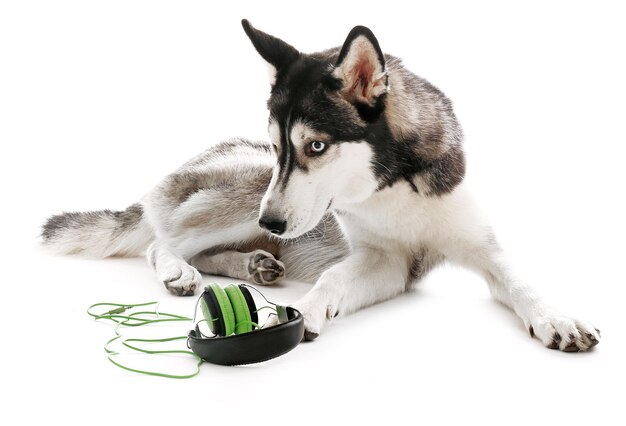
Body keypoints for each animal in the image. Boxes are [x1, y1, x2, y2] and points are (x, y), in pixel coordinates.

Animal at [41, 20, 596, 352]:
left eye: (316, 146)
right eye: (280, 146)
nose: (270, 222)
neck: (391, 187)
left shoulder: (459, 251)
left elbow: (521, 281)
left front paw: (557, 318)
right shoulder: (379, 257)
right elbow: (332, 278)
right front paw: (306, 309)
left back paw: (253, 264)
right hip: (248, 190)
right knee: (162, 242)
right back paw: (183, 269)